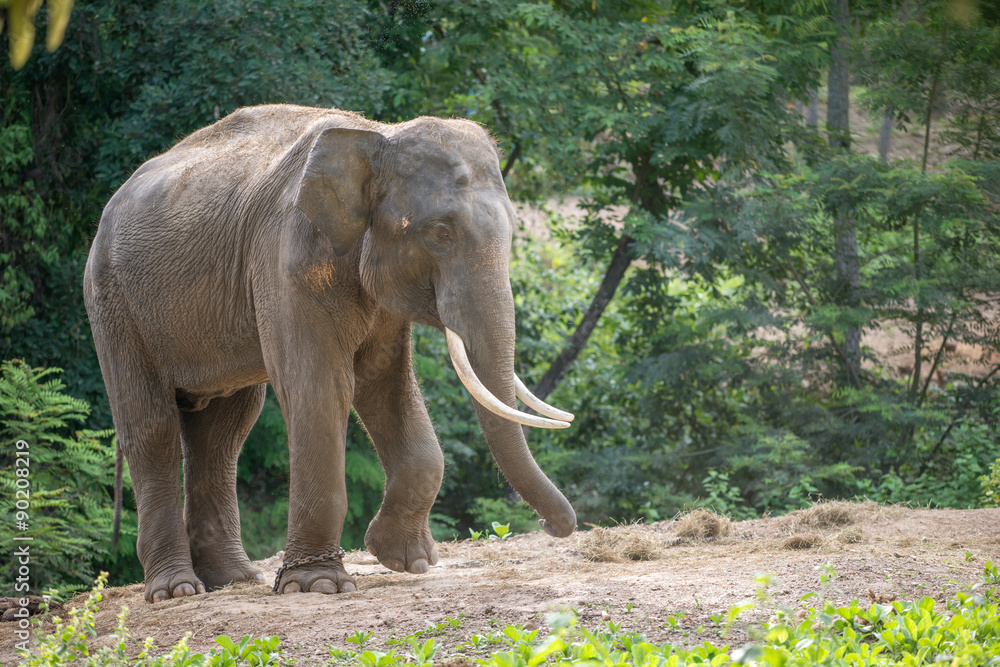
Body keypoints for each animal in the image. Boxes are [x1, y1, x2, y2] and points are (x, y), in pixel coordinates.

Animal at [84, 105, 580, 604]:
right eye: (441, 232)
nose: (549, 526)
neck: (378, 135)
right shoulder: (286, 257)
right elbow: (320, 388)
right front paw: (317, 584)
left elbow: (383, 382)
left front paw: (406, 560)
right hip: (113, 302)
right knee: (153, 426)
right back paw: (177, 591)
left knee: (225, 430)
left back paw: (235, 580)